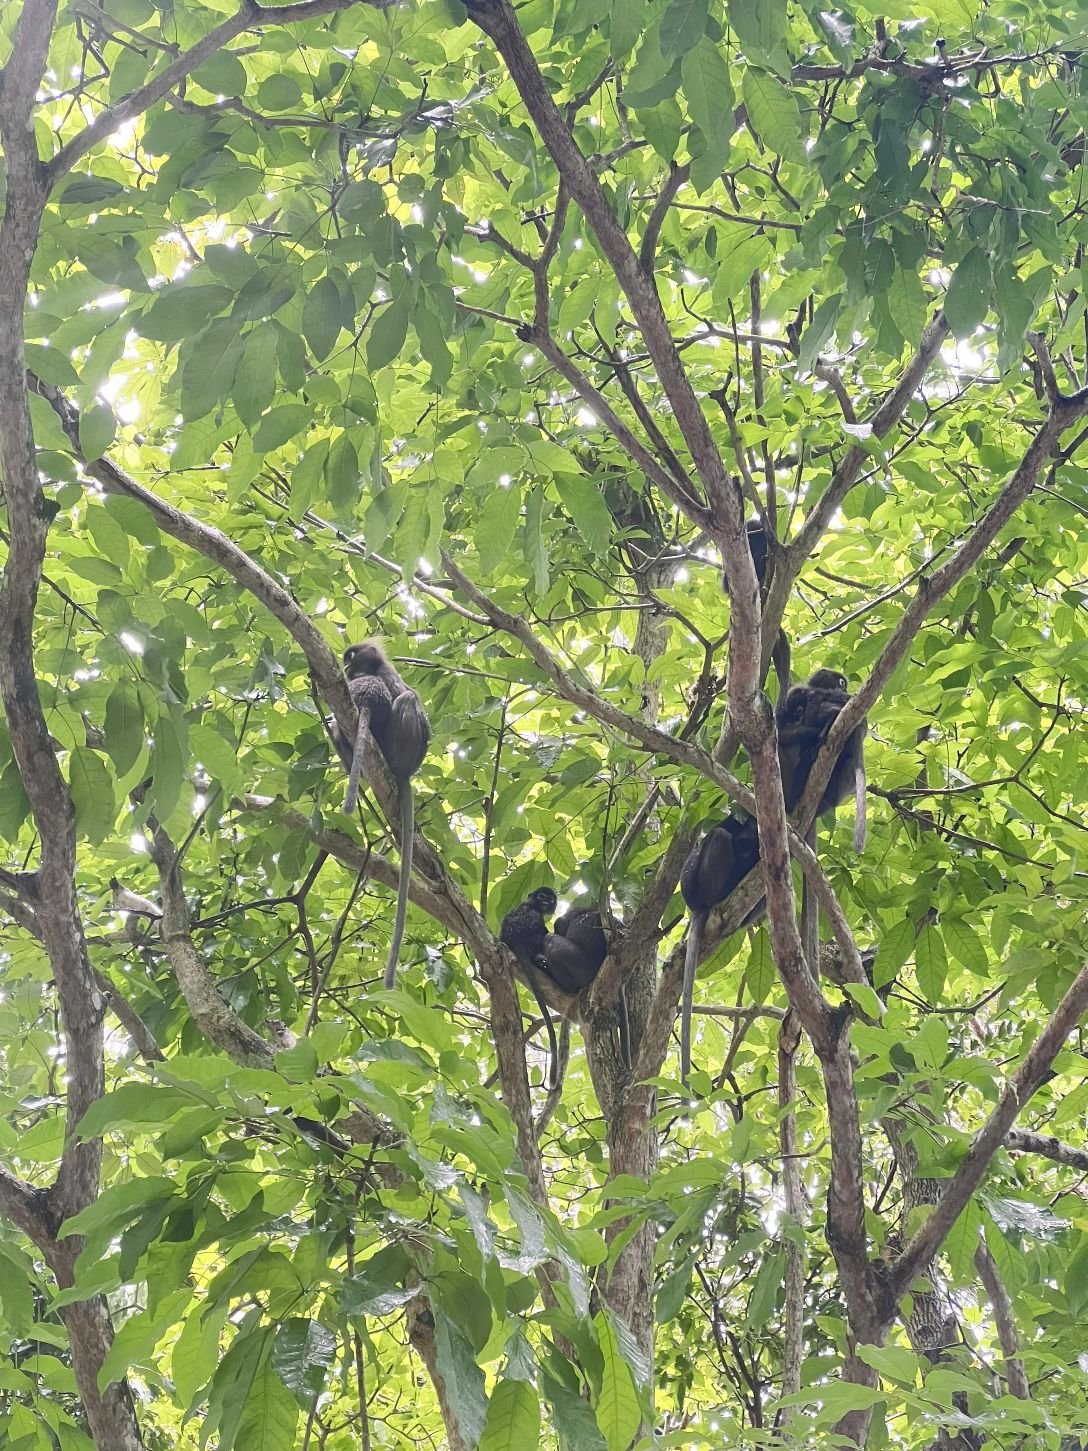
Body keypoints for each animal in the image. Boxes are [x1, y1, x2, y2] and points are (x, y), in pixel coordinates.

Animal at [330, 641, 430, 990]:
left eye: (351, 657)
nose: (346, 668)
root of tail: (407, 771)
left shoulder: (386, 674)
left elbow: (404, 691)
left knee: (408, 699)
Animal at [500, 887, 562, 1090]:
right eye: (541, 896)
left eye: (550, 898)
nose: (546, 901)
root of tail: (518, 941)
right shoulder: (535, 915)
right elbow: (542, 928)